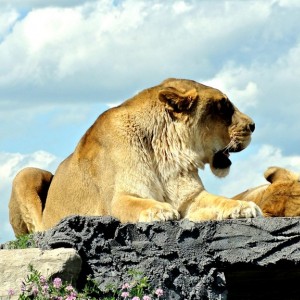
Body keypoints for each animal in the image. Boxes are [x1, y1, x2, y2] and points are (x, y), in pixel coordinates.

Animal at [8, 78, 262, 237]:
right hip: (26, 174)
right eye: (223, 106)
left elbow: (220, 200)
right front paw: (160, 210)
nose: (253, 125)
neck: (168, 152)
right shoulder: (117, 200)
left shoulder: (191, 197)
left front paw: (243, 206)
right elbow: (139, 203)